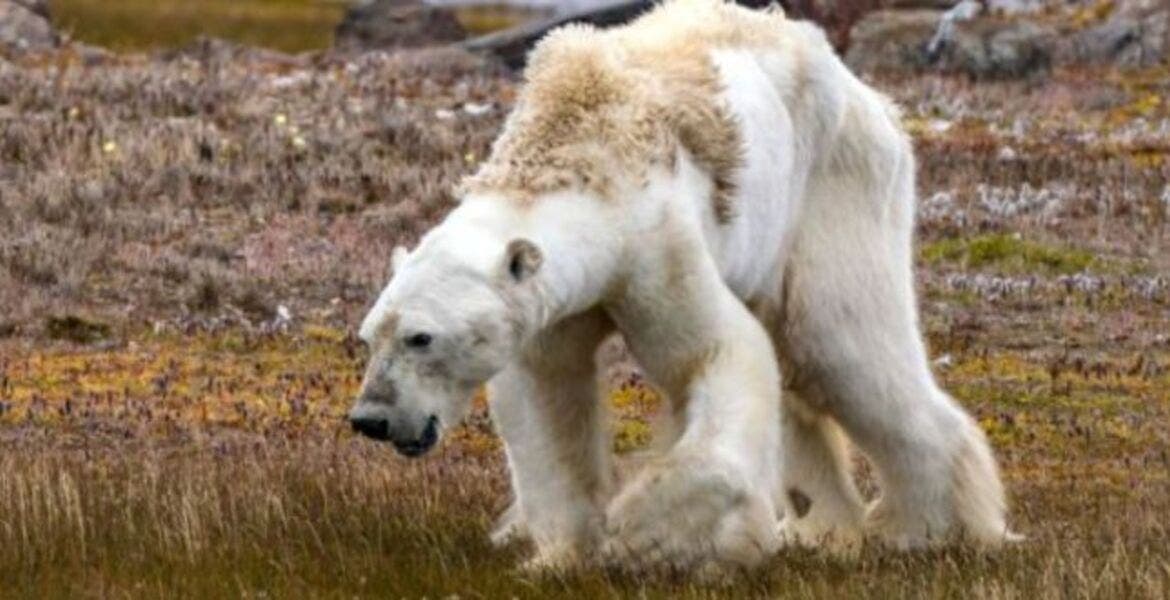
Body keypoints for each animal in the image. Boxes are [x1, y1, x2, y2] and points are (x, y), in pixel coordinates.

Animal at [348, 0, 1015, 571]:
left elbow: (715, 354)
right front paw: (559, 555)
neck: (576, 150)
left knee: (840, 345)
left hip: (833, 184)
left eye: (421, 337)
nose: (370, 419)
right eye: (369, 336)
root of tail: (867, 93)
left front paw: (649, 532)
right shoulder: (550, 306)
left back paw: (928, 529)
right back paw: (822, 528)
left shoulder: (654, 246)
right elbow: (545, 396)